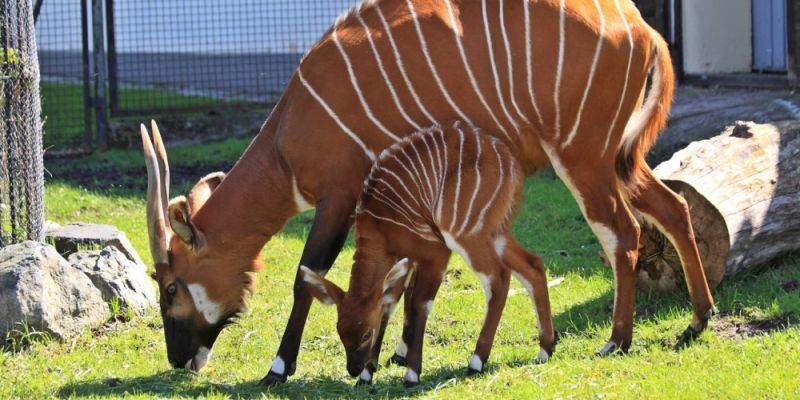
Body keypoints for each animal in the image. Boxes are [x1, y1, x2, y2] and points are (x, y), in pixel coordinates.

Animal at [300, 122, 556, 388]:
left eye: (365, 334)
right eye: (340, 331)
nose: (353, 369)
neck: (380, 223)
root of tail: (510, 162)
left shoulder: (434, 251)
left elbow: (419, 305)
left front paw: (411, 374)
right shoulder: (404, 261)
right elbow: (389, 305)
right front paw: (368, 375)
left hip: (467, 234)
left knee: (498, 278)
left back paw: (477, 361)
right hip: (496, 233)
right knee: (533, 265)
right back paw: (545, 349)